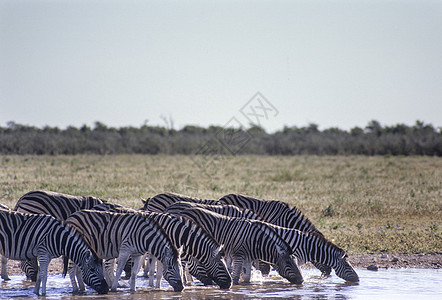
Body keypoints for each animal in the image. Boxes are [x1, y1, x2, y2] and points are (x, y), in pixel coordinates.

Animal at [92, 203, 233, 290]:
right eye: (220, 265)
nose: (230, 284)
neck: (176, 233)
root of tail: (97, 205)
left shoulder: (162, 252)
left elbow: (158, 273)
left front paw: (156, 288)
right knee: (108, 267)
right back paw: (114, 285)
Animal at [162, 205, 304, 284]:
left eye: (296, 262)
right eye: (288, 263)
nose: (302, 281)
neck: (256, 241)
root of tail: (181, 213)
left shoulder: (248, 258)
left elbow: (246, 277)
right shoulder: (239, 255)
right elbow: (235, 276)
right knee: (184, 264)